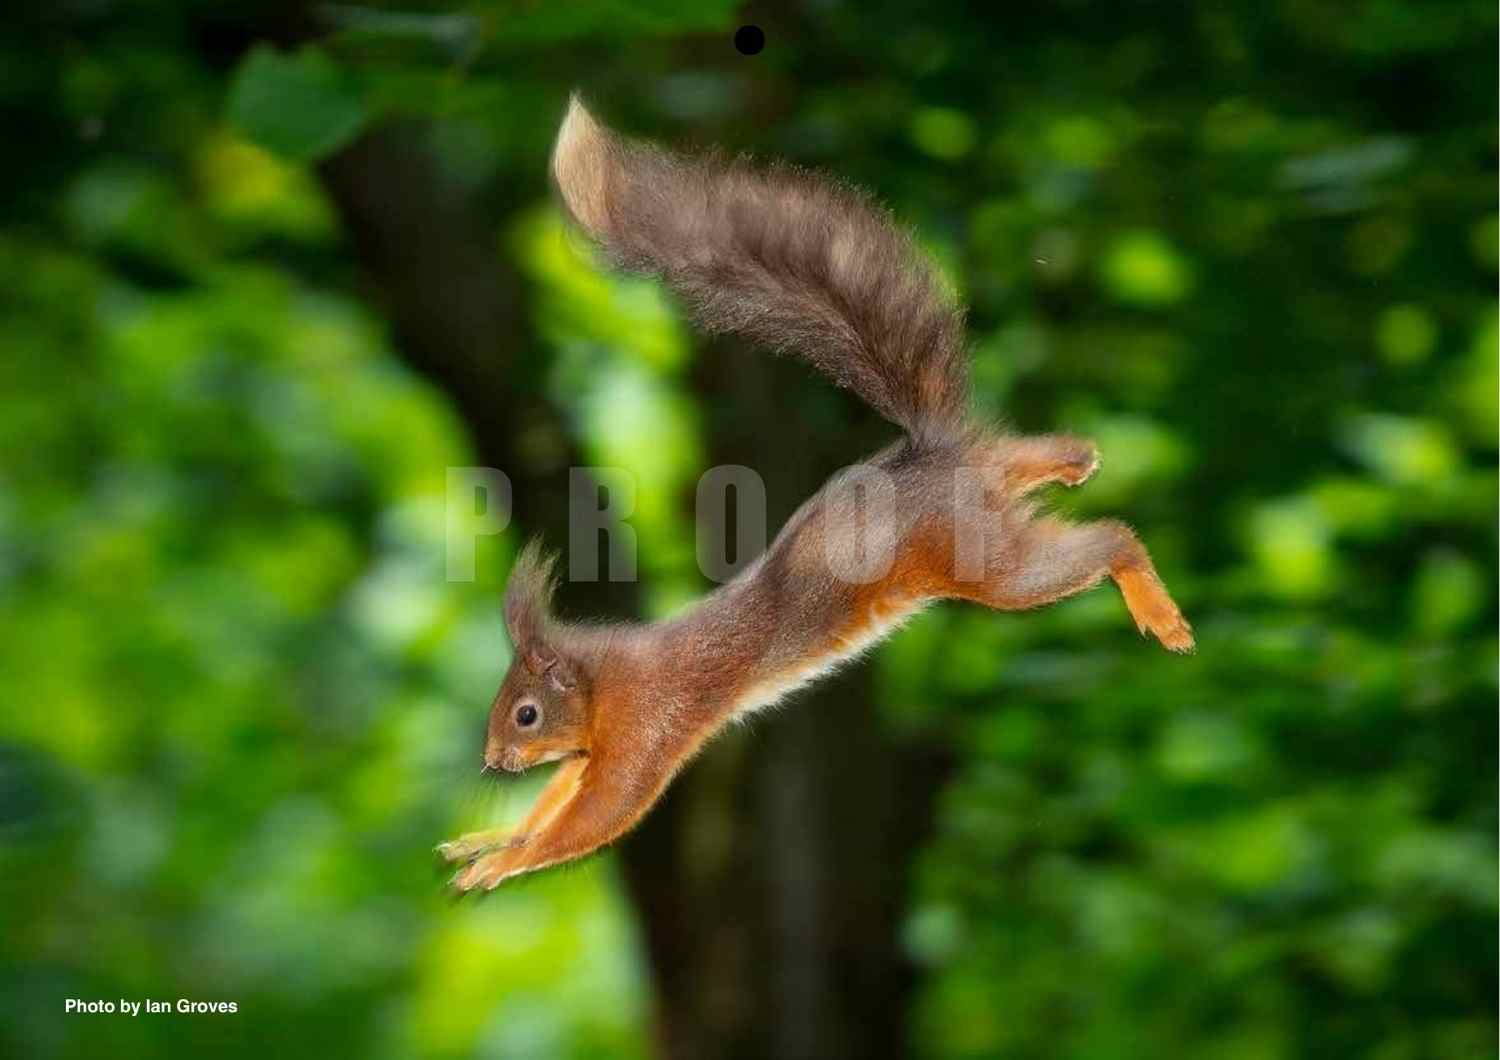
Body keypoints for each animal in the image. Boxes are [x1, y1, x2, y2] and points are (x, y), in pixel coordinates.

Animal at [439, 96, 1193, 891]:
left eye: (524, 713)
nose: (492, 760)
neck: (601, 679)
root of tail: (937, 458)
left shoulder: (647, 726)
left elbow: (599, 814)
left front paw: (504, 860)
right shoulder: (597, 747)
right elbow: (557, 799)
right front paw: (490, 838)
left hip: (990, 564)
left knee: (1107, 540)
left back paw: (1158, 611)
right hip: (990, 492)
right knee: (1017, 454)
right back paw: (1074, 459)